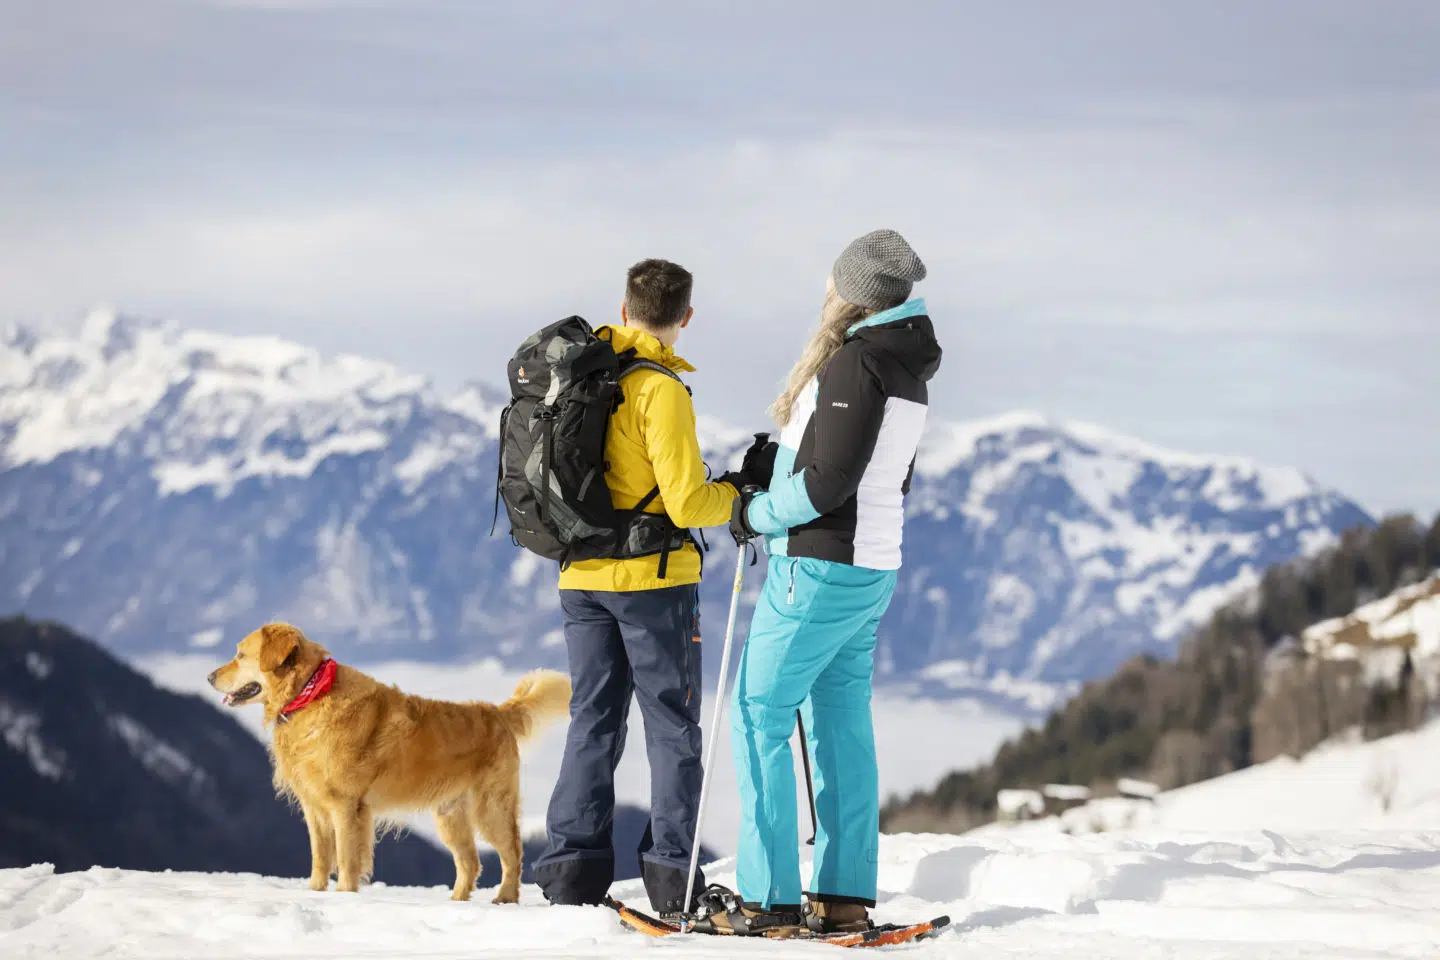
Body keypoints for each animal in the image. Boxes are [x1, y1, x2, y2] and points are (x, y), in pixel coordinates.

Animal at [208, 624, 567, 903]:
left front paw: (344, 897)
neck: (311, 693)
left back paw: (505, 897)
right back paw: (456, 901)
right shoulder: (315, 808)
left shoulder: (346, 806)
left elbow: (347, 859)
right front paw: (317, 893)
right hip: (451, 815)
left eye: (240, 655)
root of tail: (497, 713)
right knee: (470, 861)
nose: (209, 676)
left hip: (490, 807)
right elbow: (321, 858)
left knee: (512, 852)